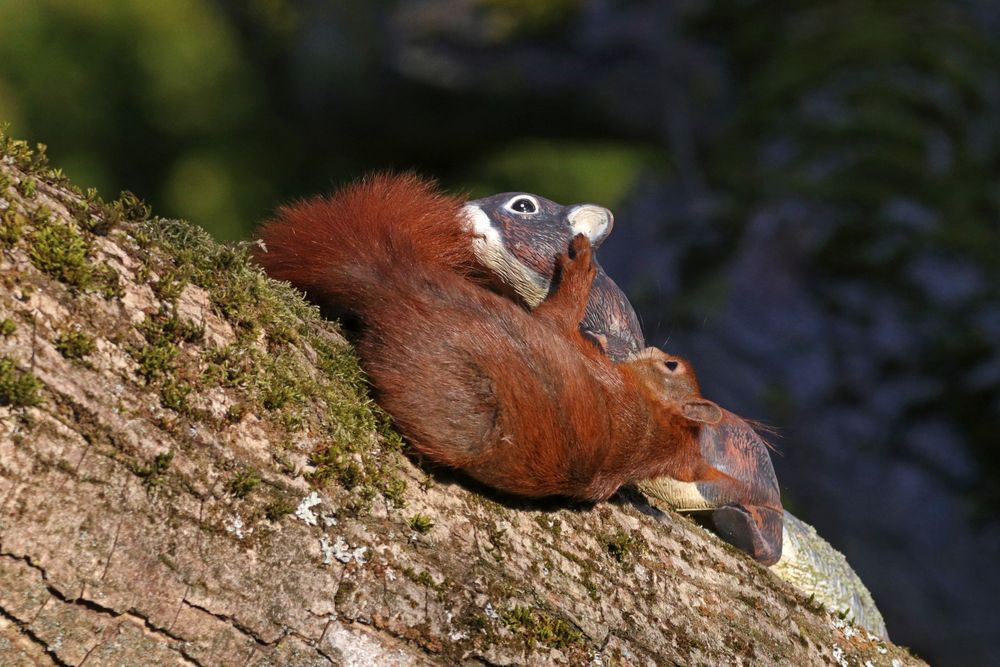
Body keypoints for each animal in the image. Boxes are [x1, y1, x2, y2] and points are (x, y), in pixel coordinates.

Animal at [254, 172, 732, 500]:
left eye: (672, 364)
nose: (650, 349)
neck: (646, 431)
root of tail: (402, 285)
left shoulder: (572, 339)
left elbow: (563, 313)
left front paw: (581, 268)